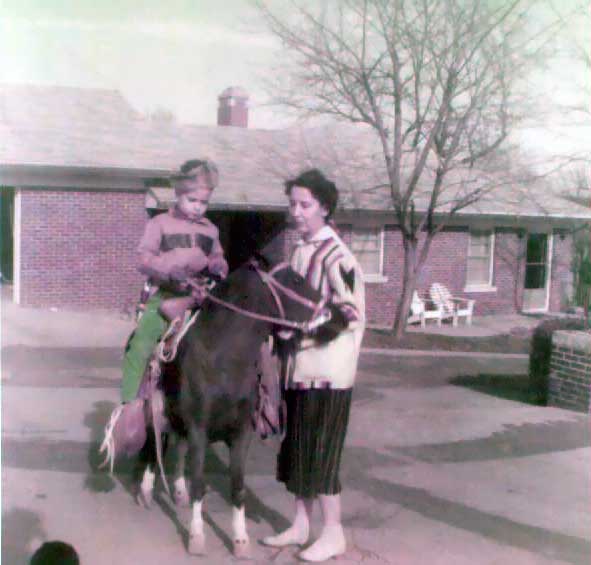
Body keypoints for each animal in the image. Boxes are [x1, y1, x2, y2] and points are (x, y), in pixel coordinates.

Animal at [135, 258, 324, 556]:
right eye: (295, 279)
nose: (329, 310)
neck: (222, 357)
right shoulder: (199, 428)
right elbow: (198, 482)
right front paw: (196, 536)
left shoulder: (242, 432)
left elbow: (237, 486)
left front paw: (240, 540)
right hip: (158, 405)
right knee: (157, 442)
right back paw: (145, 489)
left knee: (177, 444)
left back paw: (178, 491)